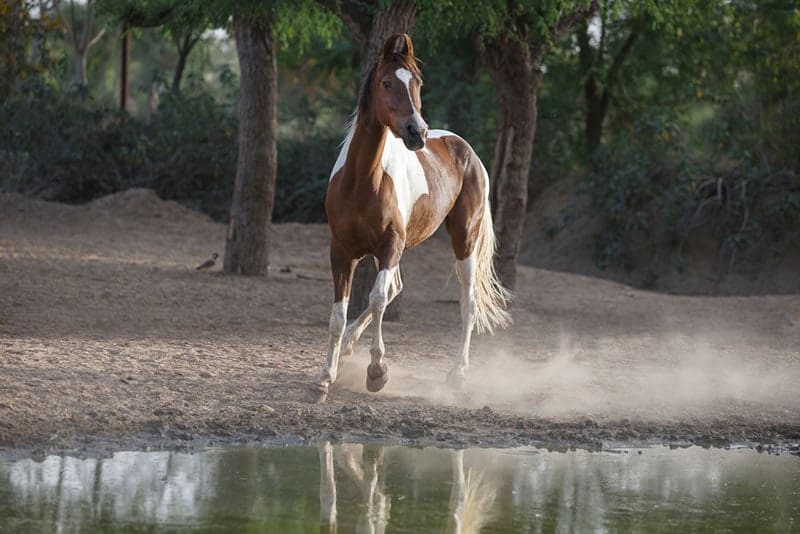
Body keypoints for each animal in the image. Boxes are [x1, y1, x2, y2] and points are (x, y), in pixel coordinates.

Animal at [315, 33, 510, 394]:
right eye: (386, 82)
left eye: (418, 82)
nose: (416, 132)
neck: (361, 180)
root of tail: (468, 152)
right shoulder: (342, 251)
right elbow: (339, 313)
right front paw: (324, 376)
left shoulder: (390, 245)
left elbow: (377, 299)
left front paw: (377, 371)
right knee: (394, 289)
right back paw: (348, 346)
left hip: (464, 240)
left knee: (468, 302)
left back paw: (458, 373)